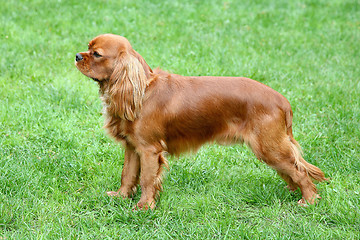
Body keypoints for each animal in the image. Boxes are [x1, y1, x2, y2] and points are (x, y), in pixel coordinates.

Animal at [74, 33, 326, 210]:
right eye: (87, 47)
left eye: (96, 54)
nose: (77, 56)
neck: (142, 90)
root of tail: (283, 101)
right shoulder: (132, 147)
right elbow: (127, 174)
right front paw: (121, 196)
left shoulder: (149, 150)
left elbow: (146, 179)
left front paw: (144, 206)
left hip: (268, 147)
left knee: (301, 172)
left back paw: (309, 200)